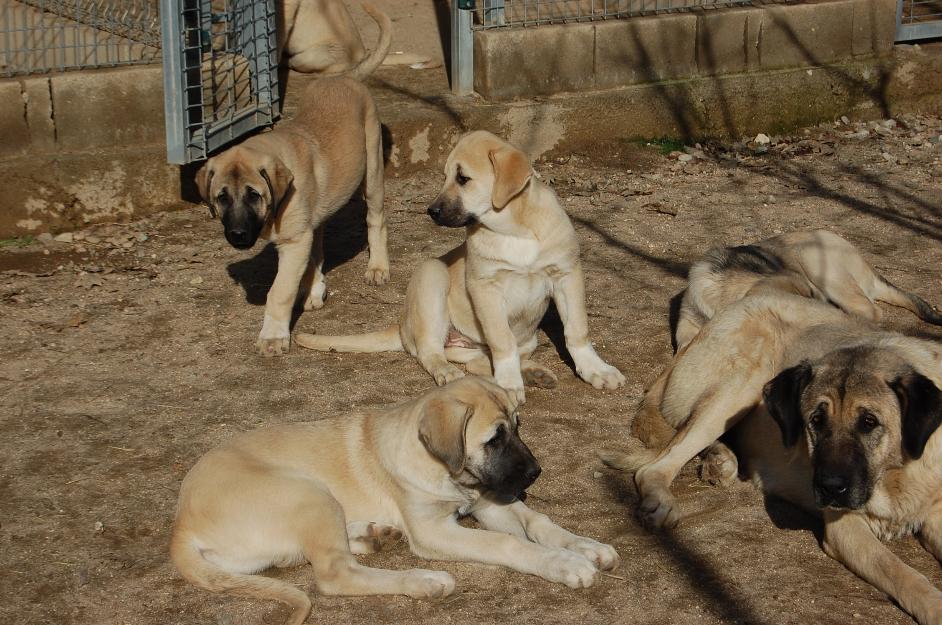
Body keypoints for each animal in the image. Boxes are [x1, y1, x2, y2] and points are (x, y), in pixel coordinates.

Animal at [173, 372, 624, 620]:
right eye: (495, 439)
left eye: (518, 426)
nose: (535, 473)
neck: (450, 475)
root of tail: (180, 527)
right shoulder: (434, 530)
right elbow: (507, 543)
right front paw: (564, 564)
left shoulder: (488, 501)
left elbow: (538, 522)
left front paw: (585, 546)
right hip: (307, 492)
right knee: (335, 574)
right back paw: (424, 581)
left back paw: (373, 534)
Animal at [199, 42, 390, 356]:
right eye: (221, 197)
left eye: (254, 195)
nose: (237, 235)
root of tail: (343, 76)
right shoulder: (302, 233)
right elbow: (309, 257)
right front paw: (314, 287)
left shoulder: (294, 241)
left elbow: (279, 291)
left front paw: (273, 337)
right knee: (320, 239)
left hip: (372, 172)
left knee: (376, 221)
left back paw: (377, 267)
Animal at [296, 132, 628, 404]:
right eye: (444, 177)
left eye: (463, 178)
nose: (431, 211)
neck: (515, 229)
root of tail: (403, 325)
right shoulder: (485, 286)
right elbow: (502, 340)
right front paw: (509, 385)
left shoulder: (567, 275)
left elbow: (577, 330)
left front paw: (596, 369)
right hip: (432, 276)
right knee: (433, 352)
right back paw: (451, 372)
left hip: (525, 338)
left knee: (477, 361)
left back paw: (533, 373)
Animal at [600, 292, 942, 624]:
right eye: (816, 420)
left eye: (869, 422)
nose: (828, 487)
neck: (898, 472)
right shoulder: (845, 528)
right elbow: (899, 571)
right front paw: (933, 605)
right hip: (748, 378)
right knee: (655, 465)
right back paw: (665, 497)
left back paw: (720, 459)